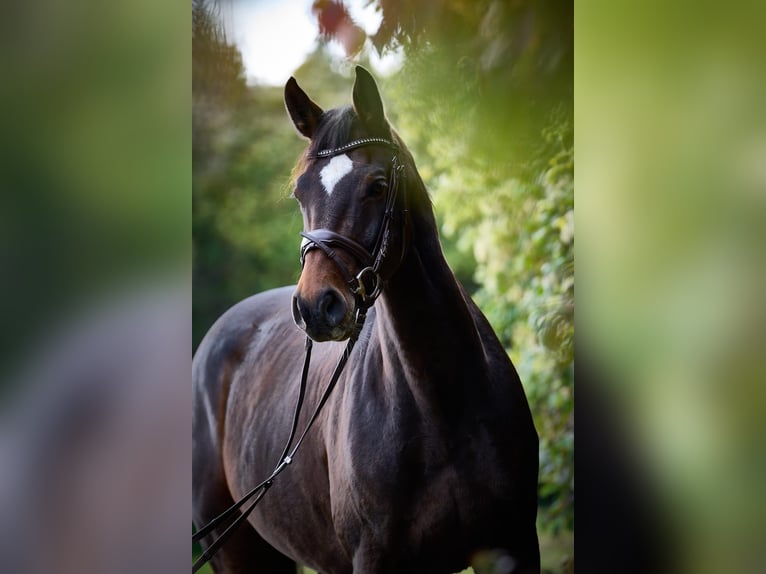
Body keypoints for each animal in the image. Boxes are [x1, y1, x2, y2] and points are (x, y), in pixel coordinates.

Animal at [192, 66, 540, 574]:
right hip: (235, 549)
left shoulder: (513, 545)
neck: (443, 402)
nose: (315, 307)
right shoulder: (374, 558)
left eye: (376, 185)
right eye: (300, 192)